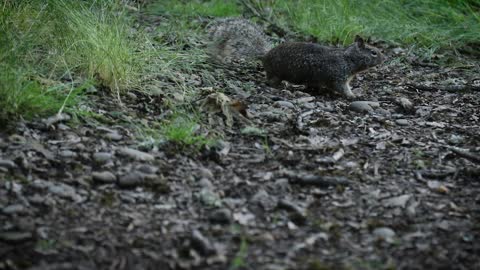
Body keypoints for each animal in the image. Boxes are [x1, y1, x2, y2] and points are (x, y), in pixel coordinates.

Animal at [206, 18, 382, 98]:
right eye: (373, 52)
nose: (384, 58)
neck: (348, 59)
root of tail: (265, 55)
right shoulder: (338, 77)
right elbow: (342, 88)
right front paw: (353, 96)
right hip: (276, 73)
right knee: (270, 81)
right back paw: (281, 86)